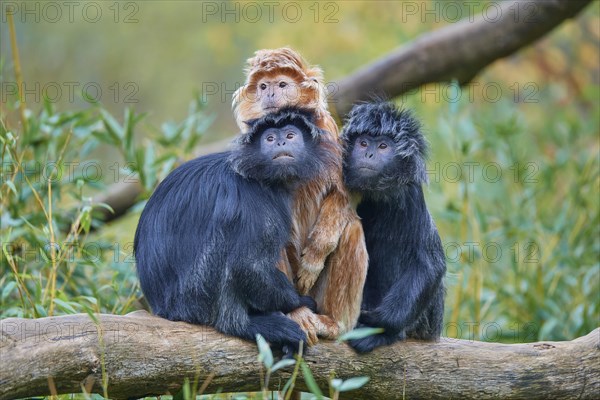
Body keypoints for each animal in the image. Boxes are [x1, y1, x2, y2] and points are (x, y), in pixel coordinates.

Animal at [133, 108, 336, 354]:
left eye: (290, 135)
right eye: (269, 139)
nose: (280, 142)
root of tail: (164, 308)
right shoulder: (254, 200)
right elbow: (247, 266)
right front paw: (298, 302)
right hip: (195, 295)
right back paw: (245, 324)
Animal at [342, 102, 446, 354]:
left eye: (382, 146)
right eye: (363, 143)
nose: (368, 154)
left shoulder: (410, 194)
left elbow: (429, 265)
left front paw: (379, 323)